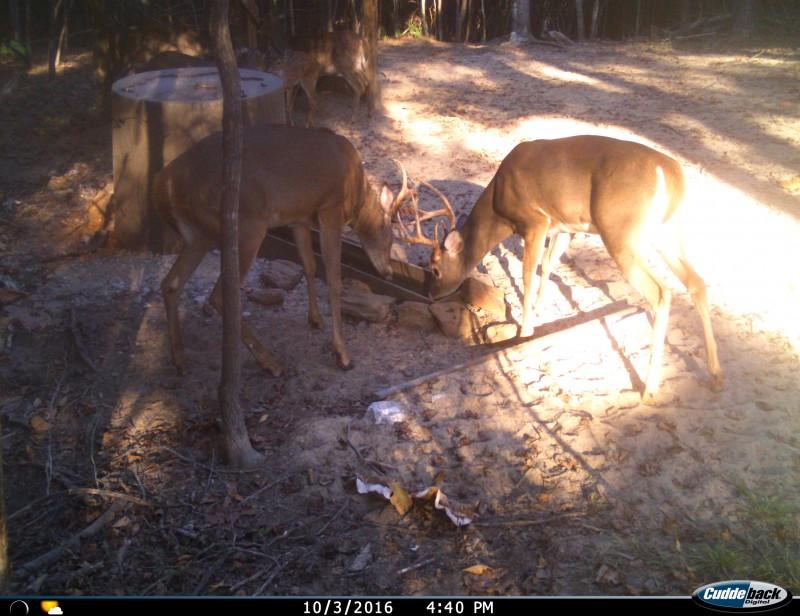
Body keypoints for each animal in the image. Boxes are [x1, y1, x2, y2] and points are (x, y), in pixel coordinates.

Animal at [152, 124, 413, 378]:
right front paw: (343, 355)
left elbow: (309, 265)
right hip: (247, 226)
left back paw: (180, 361)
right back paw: (271, 363)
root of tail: (164, 186)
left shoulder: (299, 219)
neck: (355, 194)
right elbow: (333, 279)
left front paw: (315, 319)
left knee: (170, 284)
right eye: (390, 236)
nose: (389, 273)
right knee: (219, 294)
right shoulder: (330, 207)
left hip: (198, 236)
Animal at [397, 135, 723, 404]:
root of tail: (670, 172)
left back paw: (650, 390)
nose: (430, 294)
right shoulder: (564, 226)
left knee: (661, 292)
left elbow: (528, 274)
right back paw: (715, 375)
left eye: (435, 268)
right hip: (665, 231)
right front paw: (539, 315)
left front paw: (525, 330)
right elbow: (547, 267)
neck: (499, 205)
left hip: (620, 229)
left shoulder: (535, 221)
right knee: (697, 282)